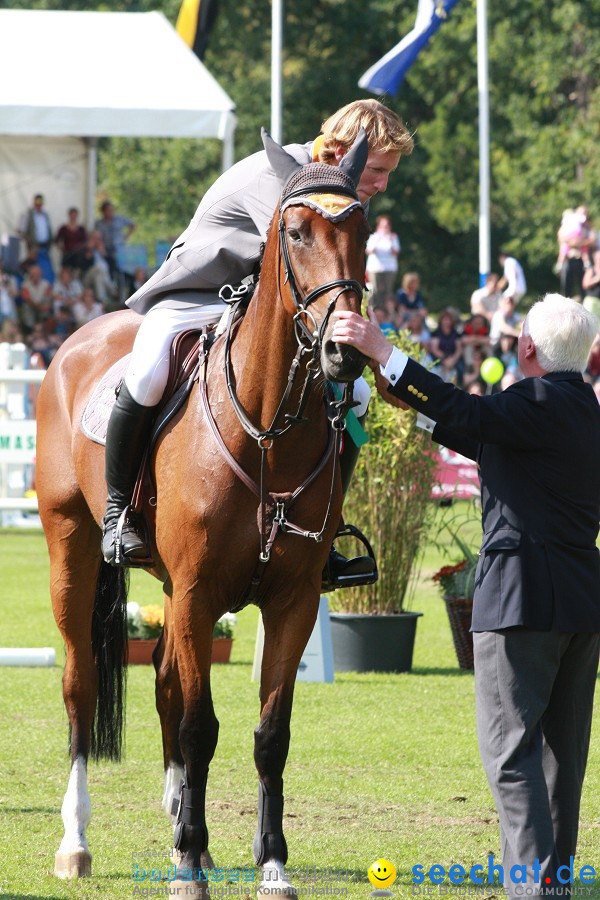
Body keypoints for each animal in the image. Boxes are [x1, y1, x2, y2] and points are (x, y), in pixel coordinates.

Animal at [37, 132, 370, 892]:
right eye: (295, 231)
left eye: (364, 232)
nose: (343, 349)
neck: (270, 427)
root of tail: (77, 338)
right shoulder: (195, 593)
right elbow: (199, 727)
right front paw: (190, 865)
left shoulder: (291, 602)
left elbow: (269, 734)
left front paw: (269, 861)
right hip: (72, 546)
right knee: (80, 686)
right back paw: (77, 841)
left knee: (164, 679)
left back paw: (181, 828)